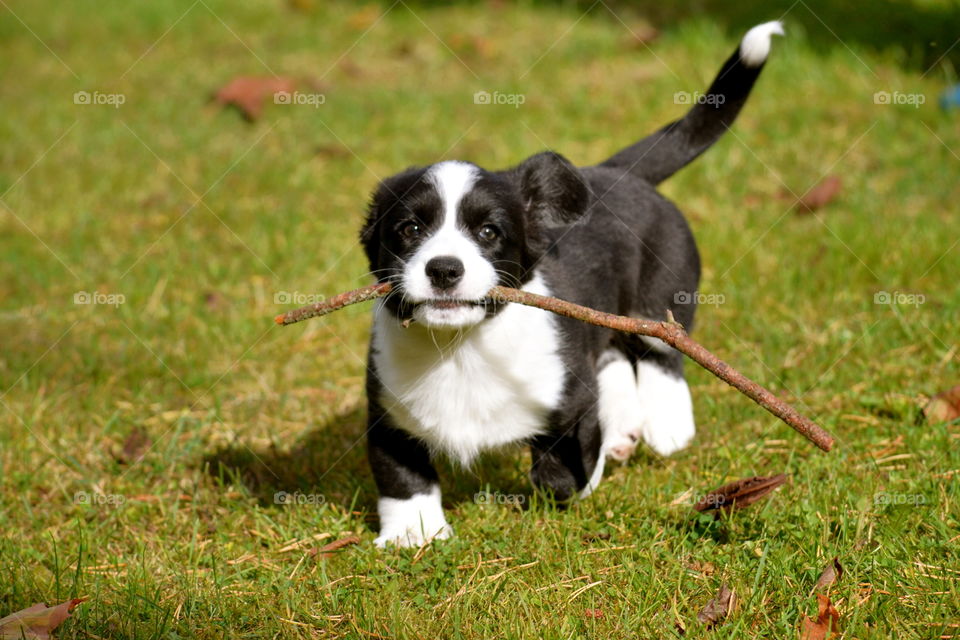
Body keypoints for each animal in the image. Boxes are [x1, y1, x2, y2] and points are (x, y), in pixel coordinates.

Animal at [356, 22, 784, 548]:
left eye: (489, 232)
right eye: (410, 229)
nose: (443, 270)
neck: (460, 348)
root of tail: (620, 173)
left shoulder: (572, 396)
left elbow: (560, 472)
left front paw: (587, 474)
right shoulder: (387, 411)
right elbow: (402, 475)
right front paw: (413, 536)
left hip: (659, 300)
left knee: (661, 352)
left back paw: (666, 425)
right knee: (615, 353)